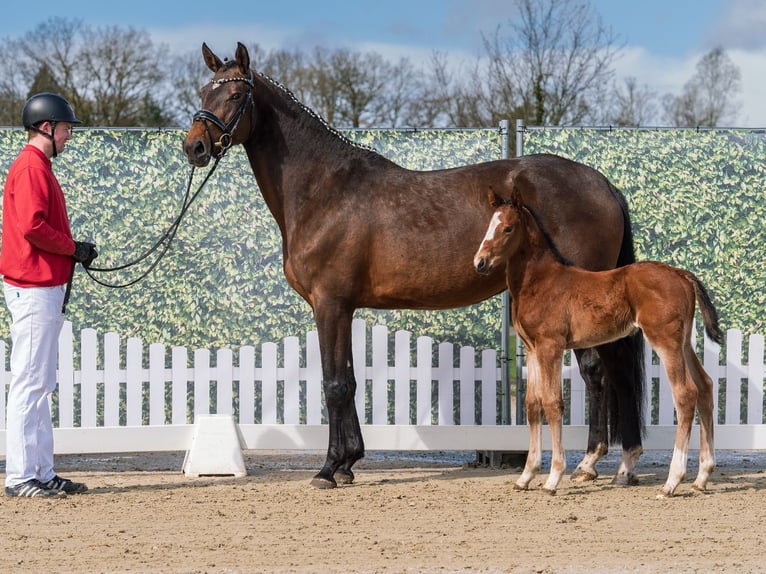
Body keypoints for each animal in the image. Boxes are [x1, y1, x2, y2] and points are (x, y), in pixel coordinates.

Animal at [183, 42, 647, 489]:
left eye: (236, 94)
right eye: (204, 92)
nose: (194, 147)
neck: (324, 189)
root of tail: (603, 184)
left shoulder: (329, 303)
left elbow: (335, 384)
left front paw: (329, 469)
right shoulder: (343, 307)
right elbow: (350, 380)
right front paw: (349, 463)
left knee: (599, 372)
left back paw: (592, 462)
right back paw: (617, 464)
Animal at [474, 188, 720, 497]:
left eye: (507, 228)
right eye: (487, 226)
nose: (480, 263)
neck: (541, 281)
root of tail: (682, 275)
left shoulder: (551, 346)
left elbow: (553, 403)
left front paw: (553, 478)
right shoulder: (531, 348)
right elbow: (532, 404)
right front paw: (525, 476)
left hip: (665, 340)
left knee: (686, 395)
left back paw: (671, 482)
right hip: (684, 342)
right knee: (705, 386)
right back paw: (702, 477)